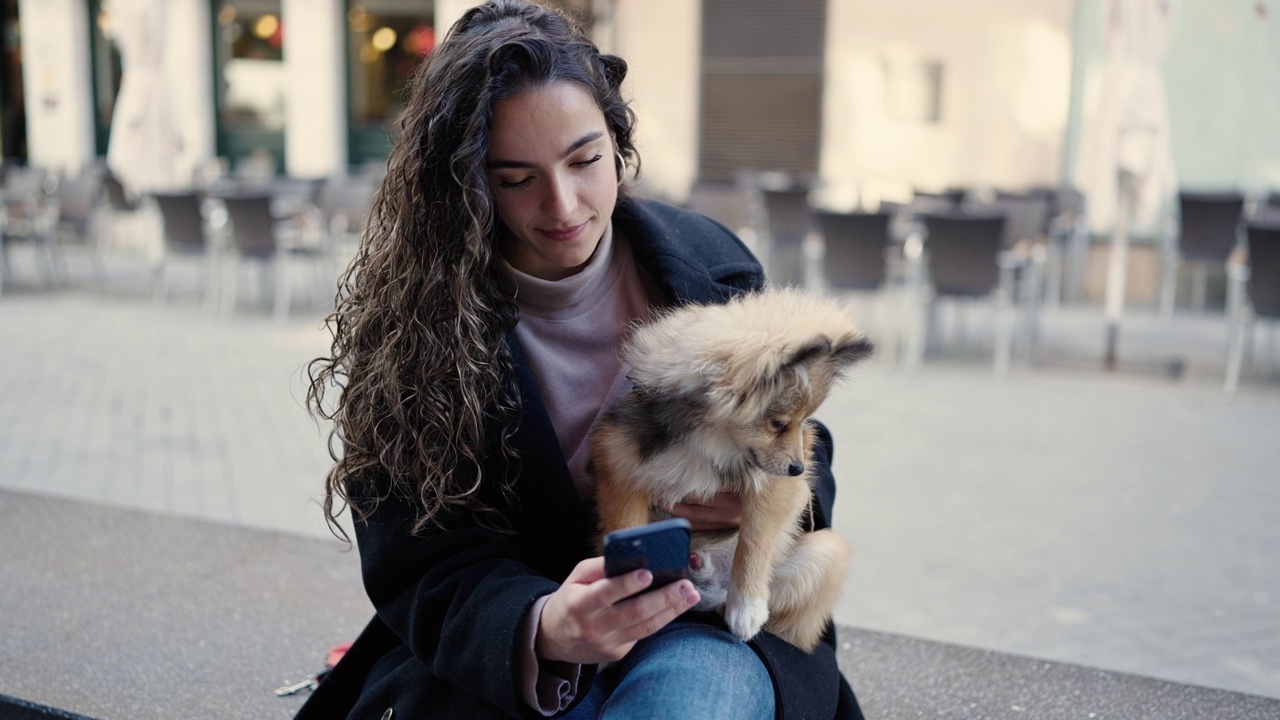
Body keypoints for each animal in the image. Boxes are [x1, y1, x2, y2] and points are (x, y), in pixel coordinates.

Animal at [588, 285, 870, 650]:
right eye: (778, 424)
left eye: (804, 423)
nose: (798, 467)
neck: (710, 443)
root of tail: (707, 585)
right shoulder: (619, 466)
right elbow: (626, 525)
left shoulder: (775, 487)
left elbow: (753, 540)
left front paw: (746, 607)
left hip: (827, 553)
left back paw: (727, 602)